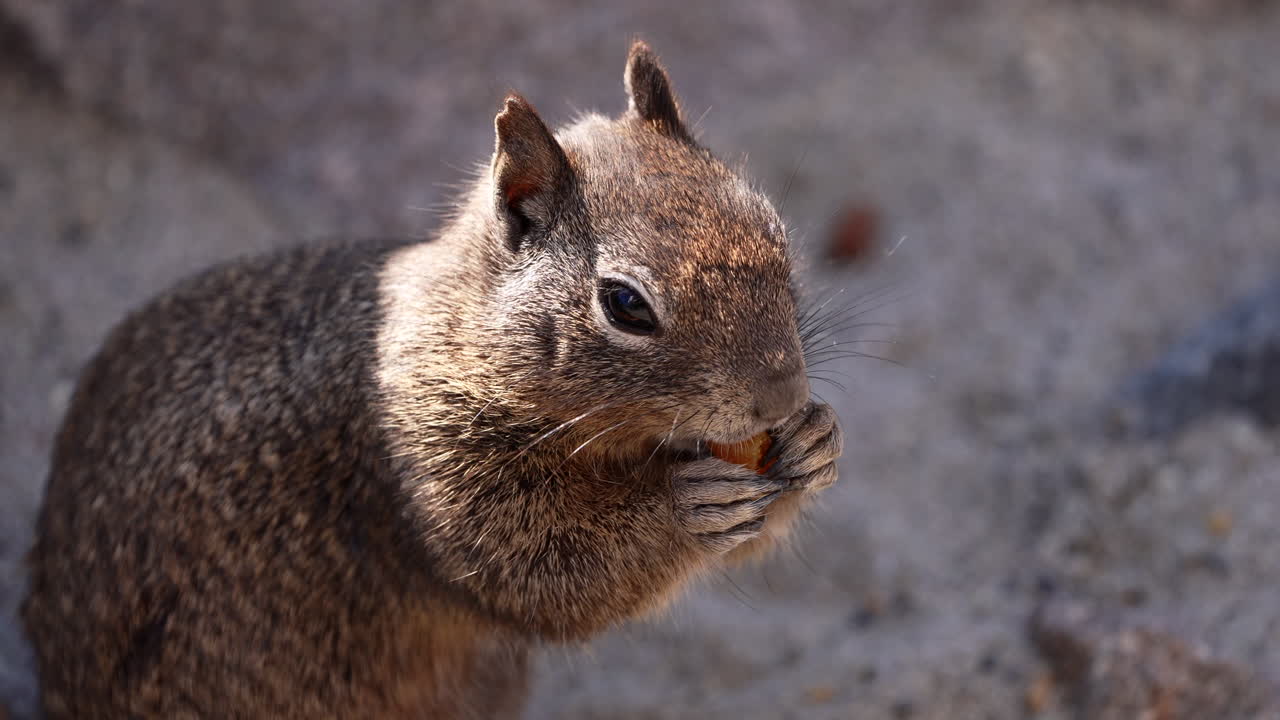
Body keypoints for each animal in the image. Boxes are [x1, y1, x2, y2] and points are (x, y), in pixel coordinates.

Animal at [21, 41, 843, 719]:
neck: (460, 336)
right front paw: (682, 507)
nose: (781, 397)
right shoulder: (431, 470)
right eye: (625, 304)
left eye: (773, 228)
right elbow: (552, 574)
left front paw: (816, 441)